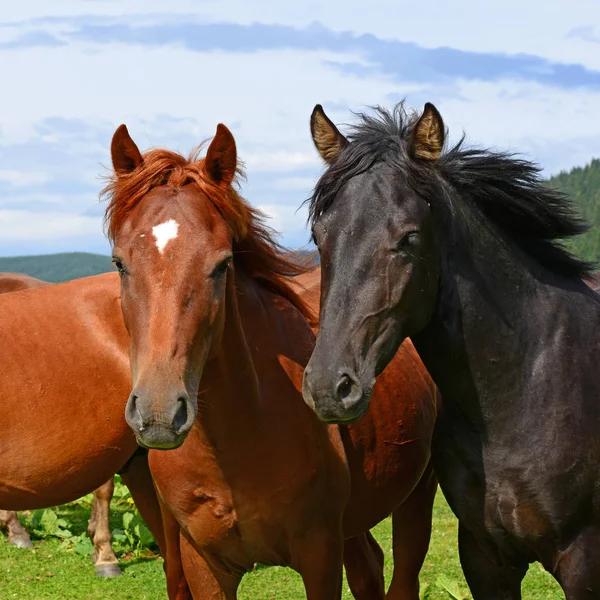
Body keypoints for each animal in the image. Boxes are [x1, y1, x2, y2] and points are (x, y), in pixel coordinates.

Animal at [105, 124, 438, 596]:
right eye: (119, 263)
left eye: (222, 264)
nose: (158, 413)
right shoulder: (204, 565)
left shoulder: (320, 556)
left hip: (418, 495)